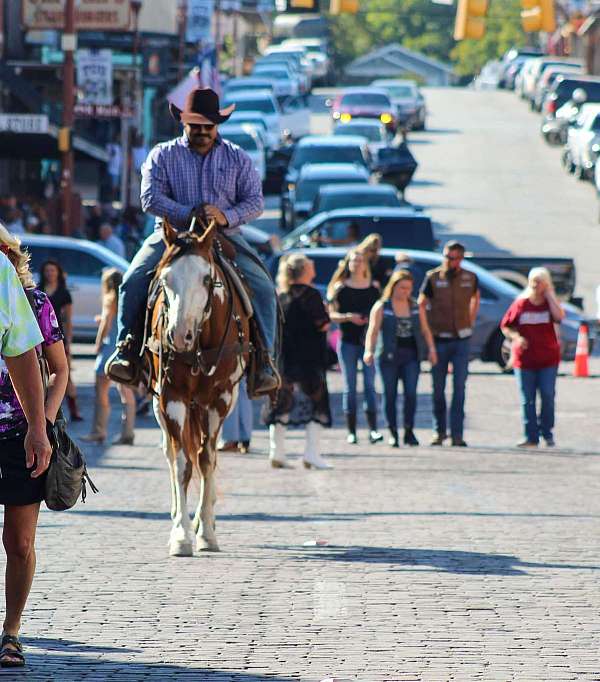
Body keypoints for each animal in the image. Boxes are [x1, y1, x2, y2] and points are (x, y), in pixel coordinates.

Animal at [149, 220, 250, 556]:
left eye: (207, 278)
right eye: (164, 278)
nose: (179, 336)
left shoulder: (219, 400)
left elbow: (206, 460)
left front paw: (205, 531)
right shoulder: (171, 398)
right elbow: (183, 463)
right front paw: (181, 535)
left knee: (210, 457)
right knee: (171, 452)